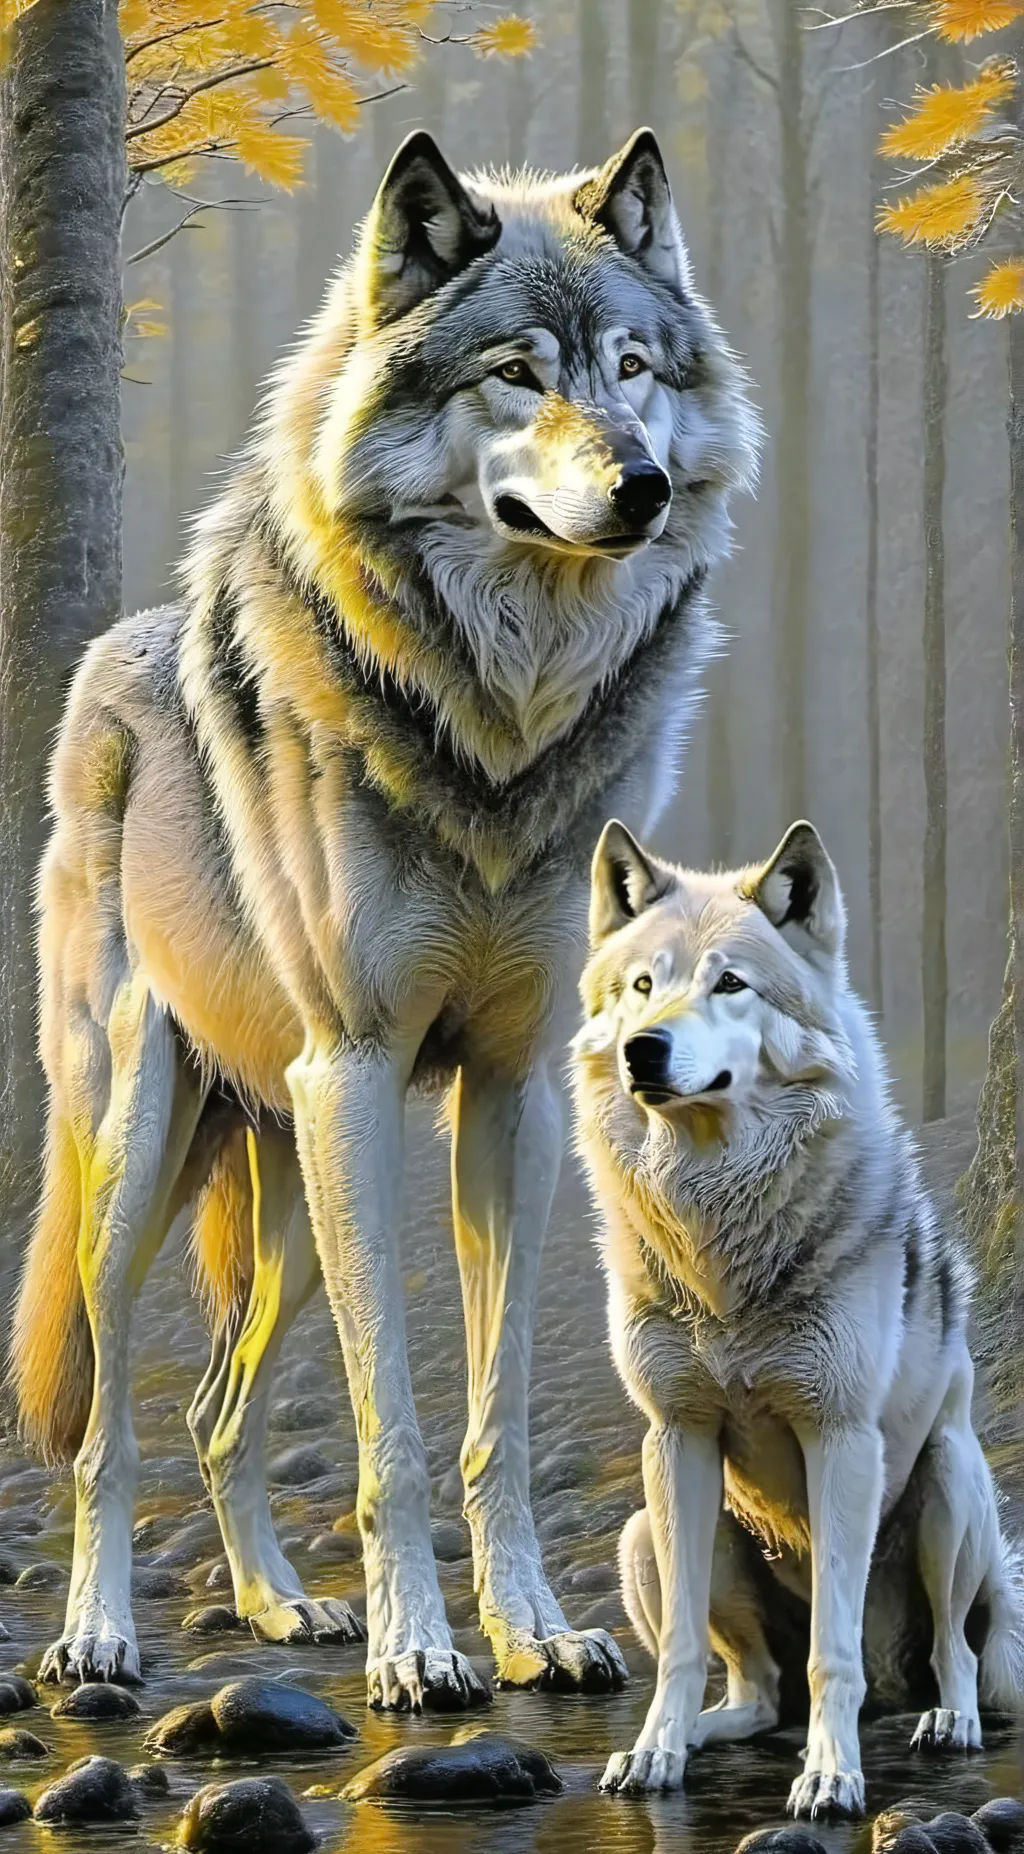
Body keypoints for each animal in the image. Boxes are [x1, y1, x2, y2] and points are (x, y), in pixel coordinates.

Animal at [9, 129, 758, 1708]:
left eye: (634, 367)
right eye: (518, 373)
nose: (646, 485)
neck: (497, 731)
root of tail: (107, 660)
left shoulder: (515, 1091)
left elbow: (495, 1410)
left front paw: (532, 1631)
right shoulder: (358, 1072)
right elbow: (394, 1426)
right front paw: (422, 1651)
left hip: (291, 1196)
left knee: (220, 1413)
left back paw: (282, 1607)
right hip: (140, 1153)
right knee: (107, 1429)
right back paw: (98, 1635)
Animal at [571, 818, 1024, 1817]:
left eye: (730, 984)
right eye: (643, 985)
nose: (643, 1050)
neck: (717, 1239)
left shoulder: (841, 1438)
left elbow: (833, 1656)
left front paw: (831, 1775)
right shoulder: (677, 1438)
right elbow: (681, 1654)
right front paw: (655, 1753)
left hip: (952, 1491)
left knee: (954, 1650)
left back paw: (949, 1721)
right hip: (643, 1532)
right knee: (755, 1690)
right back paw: (702, 1735)